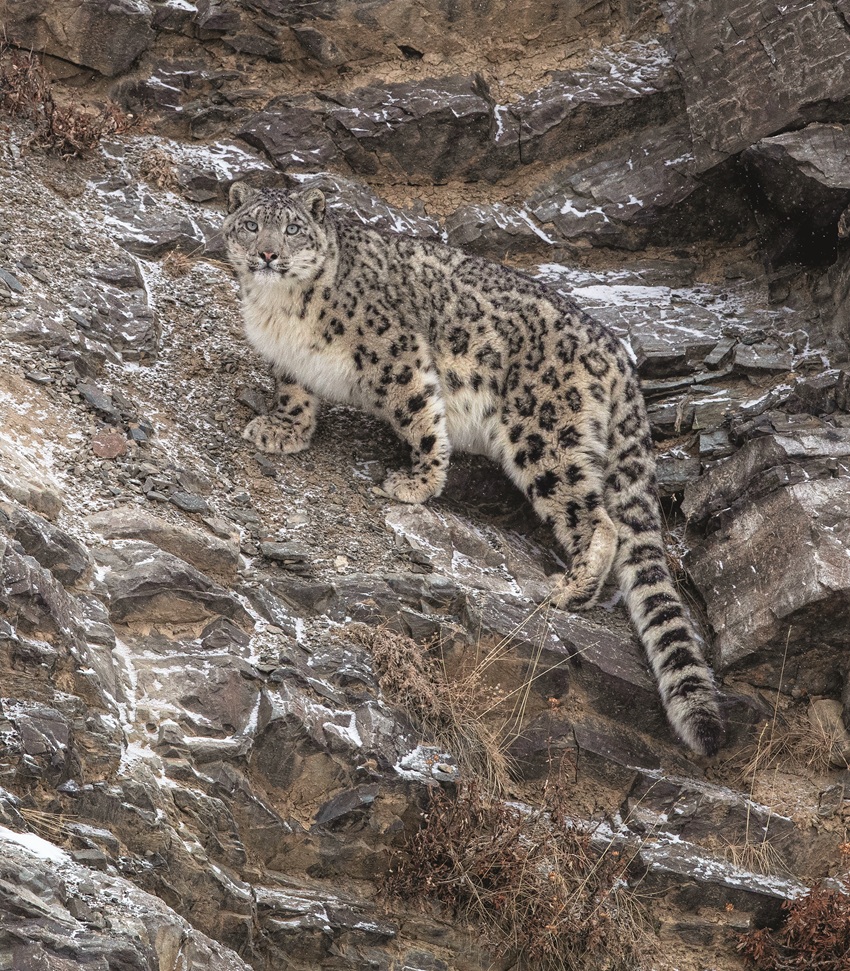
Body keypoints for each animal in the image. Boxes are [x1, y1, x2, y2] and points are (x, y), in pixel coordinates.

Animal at [222, 182, 723, 757]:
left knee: (598, 518)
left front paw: (416, 483)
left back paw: (570, 588)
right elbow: (294, 396)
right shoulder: (290, 363)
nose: (268, 255)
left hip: (542, 432)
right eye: (251, 224)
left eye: (293, 229)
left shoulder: (396, 351)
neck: (280, 312)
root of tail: (618, 355)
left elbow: (419, 412)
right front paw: (282, 430)